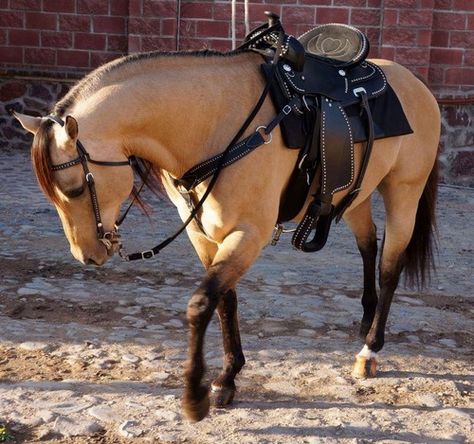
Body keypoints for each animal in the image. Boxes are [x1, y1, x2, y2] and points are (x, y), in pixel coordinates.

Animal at [12, 20, 440, 424]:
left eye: (73, 189)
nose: (86, 255)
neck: (213, 124)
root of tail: (417, 84)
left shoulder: (248, 235)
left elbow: (202, 303)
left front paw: (196, 395)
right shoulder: (203, 235)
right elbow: (225, 301)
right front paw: (228, 376)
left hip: (403, 193)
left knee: (389, 267)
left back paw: (371, 348)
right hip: (353, 196)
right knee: (368, 245)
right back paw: (365, 321)